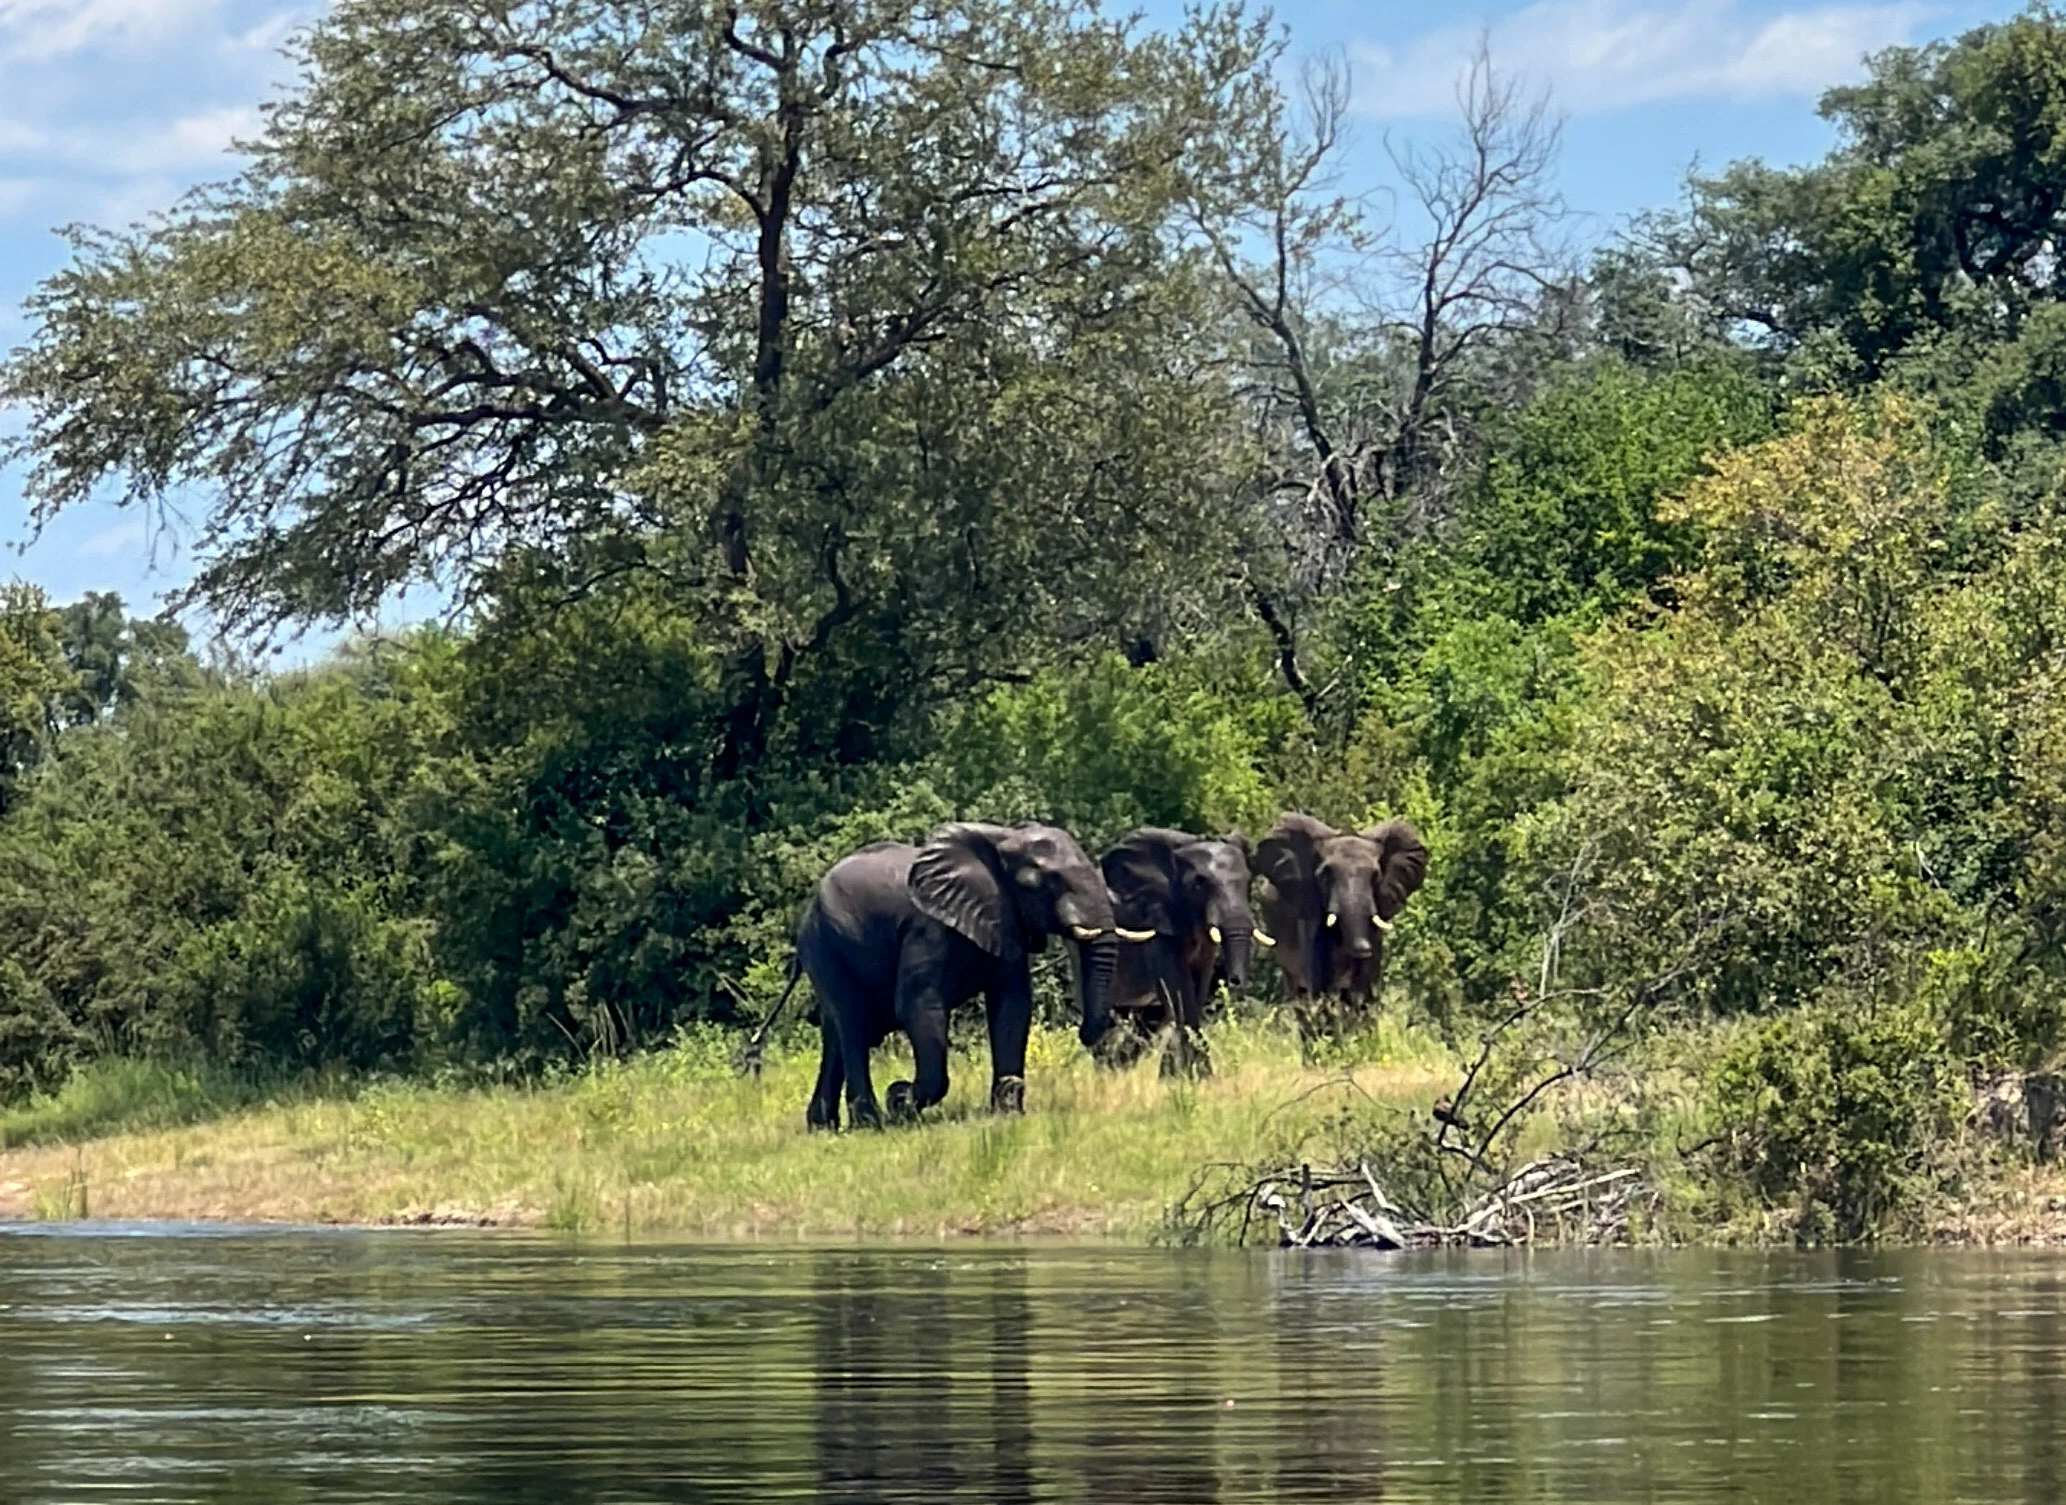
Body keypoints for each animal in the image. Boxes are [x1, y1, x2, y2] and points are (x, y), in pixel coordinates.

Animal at [772, 822, 1156, 1124]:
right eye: (1043, 884)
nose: (1093, 1035)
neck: (1002, 839)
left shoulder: (1004, 918)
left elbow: (1012, 1005)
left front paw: (1008, 1113)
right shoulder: (926, 929)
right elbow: (918, 1006)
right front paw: (901, 1099)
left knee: (835, 1033)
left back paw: (822, 1126)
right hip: (823, 946)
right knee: (851, 1023)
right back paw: (870, 1122)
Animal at [1099, 826, 1272, 1075]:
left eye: (1249, 882)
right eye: (1198, 884)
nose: (1235, 981)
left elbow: (1196, 987)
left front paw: (1179, 1075)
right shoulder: (1159, 920)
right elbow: (1180, 990)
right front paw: (1190, 1076)